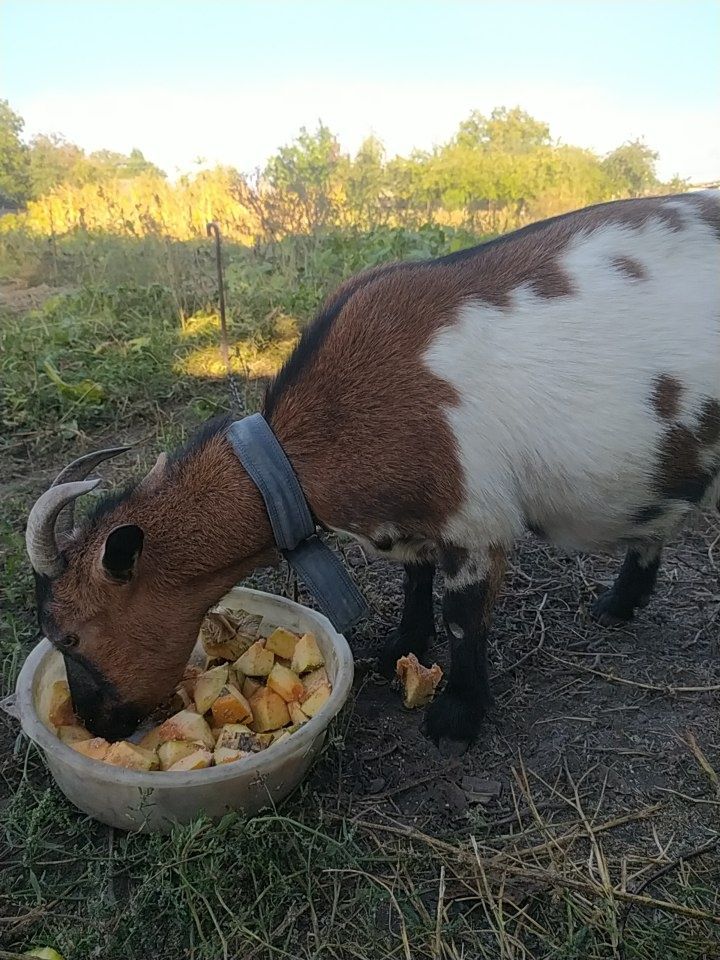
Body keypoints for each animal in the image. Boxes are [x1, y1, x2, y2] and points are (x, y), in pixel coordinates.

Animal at [25, 191, 720, 748]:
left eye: (70, 636)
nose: (94, 725)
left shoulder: (475, 519)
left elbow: (463, 615)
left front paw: (455, 719)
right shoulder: (414, 521)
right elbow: (415, 580)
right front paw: (399, 653)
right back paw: (619, 605)